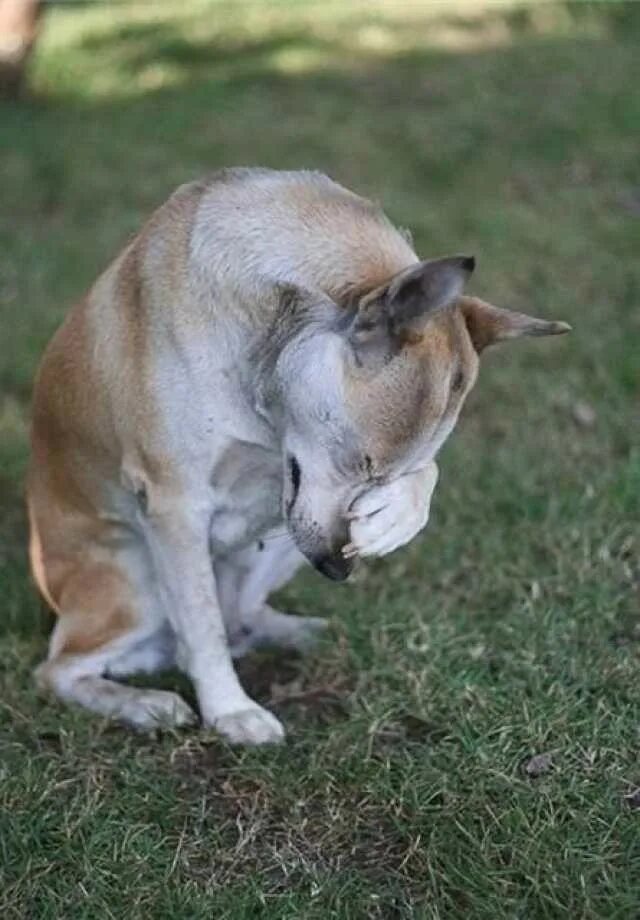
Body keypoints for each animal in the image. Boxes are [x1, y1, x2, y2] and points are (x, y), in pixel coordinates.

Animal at [26, 169, 568, 744]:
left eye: (381, 473)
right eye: (365, 463)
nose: (337, 568)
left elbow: (428, 473)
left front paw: (396, 516)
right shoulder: (175, 504)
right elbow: (201, 626)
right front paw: (230, 711)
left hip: (277, 545)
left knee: (240, 618)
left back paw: (308, 631)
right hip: (137, 584)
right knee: (64, 668)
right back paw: (143, 704)